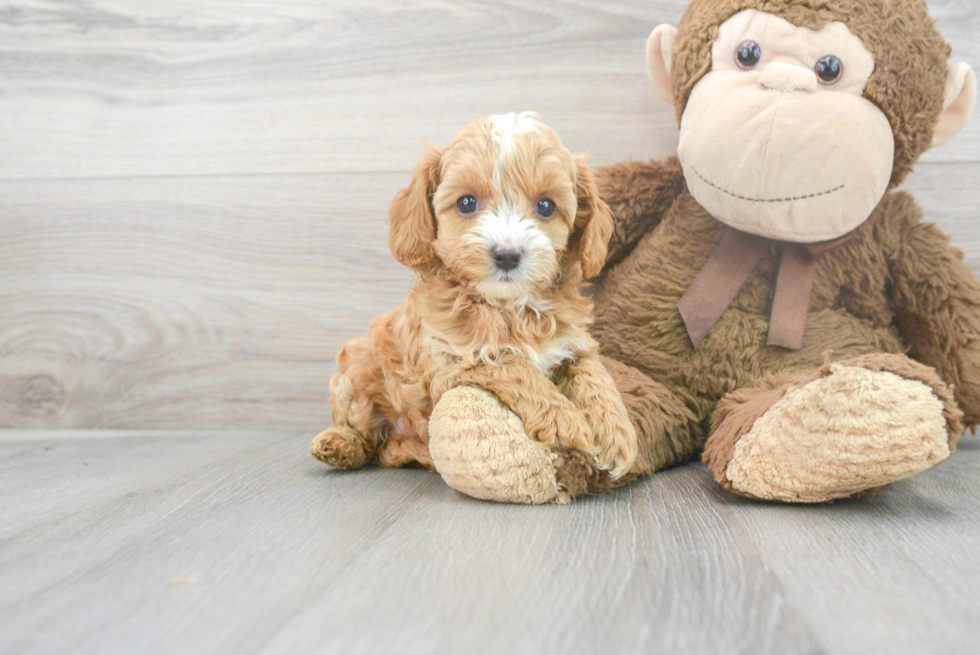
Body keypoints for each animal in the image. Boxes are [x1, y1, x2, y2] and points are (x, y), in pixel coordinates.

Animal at [310, 113, 640, 480]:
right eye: (467, 202)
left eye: (546, 206)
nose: (507, 255)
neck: (510, 306)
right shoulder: (455, 358)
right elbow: (514, 367)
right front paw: (566, 421)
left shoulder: (573, 344)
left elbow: (596, 378)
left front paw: (617, 435)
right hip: (359, 365)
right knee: (363, 433)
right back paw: (339, 444)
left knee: (386, 451)